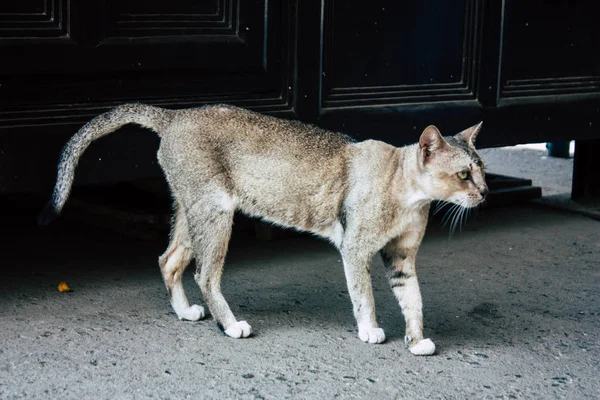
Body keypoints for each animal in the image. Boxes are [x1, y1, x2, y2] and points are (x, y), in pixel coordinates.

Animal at [38, 103, 488, 356]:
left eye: (482, 169)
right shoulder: (356, 249)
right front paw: (370, 330)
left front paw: (415, 340)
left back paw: (185, 311)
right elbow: (365, 297)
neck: (406, 192)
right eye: (464, 174)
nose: (485, 192)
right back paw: (230, 324)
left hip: (191, 210)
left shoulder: (401, 257)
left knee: (169, 260)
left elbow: (413, 300)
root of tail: (176, 115)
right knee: (205, 274)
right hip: (216, 212)